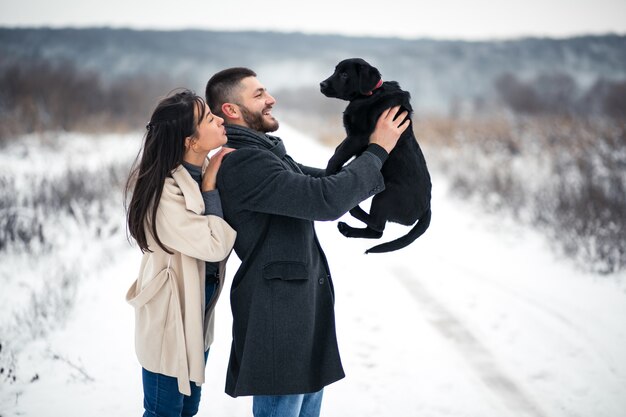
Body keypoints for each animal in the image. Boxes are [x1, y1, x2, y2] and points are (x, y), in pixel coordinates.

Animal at [320, 57, 432, 254]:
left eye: (344, 74)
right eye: (335, 71)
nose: (322, 84)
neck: (369, 94)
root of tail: (428, 207)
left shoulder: (358, 137)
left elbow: (335, 157)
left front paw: (331, 172)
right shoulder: (351, 136)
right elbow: (337, 151)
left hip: (385, 196)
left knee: (378, 226)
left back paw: (355, 210)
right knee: (375, 232)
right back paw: (347, 229)